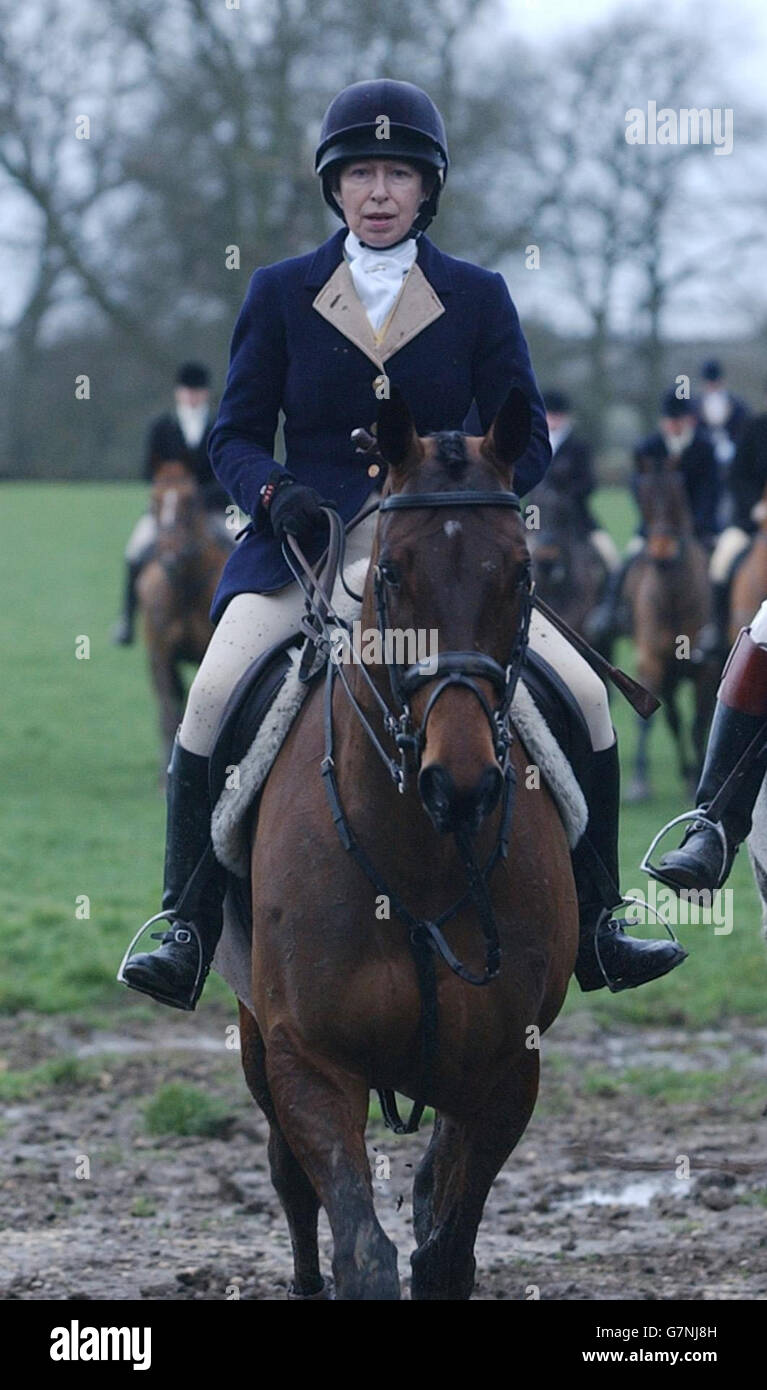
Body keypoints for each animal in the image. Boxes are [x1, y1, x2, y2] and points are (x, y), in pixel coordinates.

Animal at [136, 461, 230, 778]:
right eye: (154, 501)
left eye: (190, 502)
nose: (170, 557)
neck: (185, 588)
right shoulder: (161, 656)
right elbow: (167, 715)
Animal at [236, 391, 578, 1301]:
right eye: (391, 573)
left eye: (521, 572)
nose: (458, 783)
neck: (420, 862)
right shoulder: (309, 1061)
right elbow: (362, 1249)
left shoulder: (503, 1073)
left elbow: (445, 1254)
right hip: (254, 1039)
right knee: (289, 1181)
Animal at [622, 455, 716, 806]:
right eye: (644, 495)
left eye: (677, 496)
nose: (662, 552)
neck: (673, 597)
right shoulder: (651, 662)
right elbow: (648, 721)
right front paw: (639, 782)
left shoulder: (706, 670)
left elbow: (699, 724)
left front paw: (697, 779)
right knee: (675, 720)